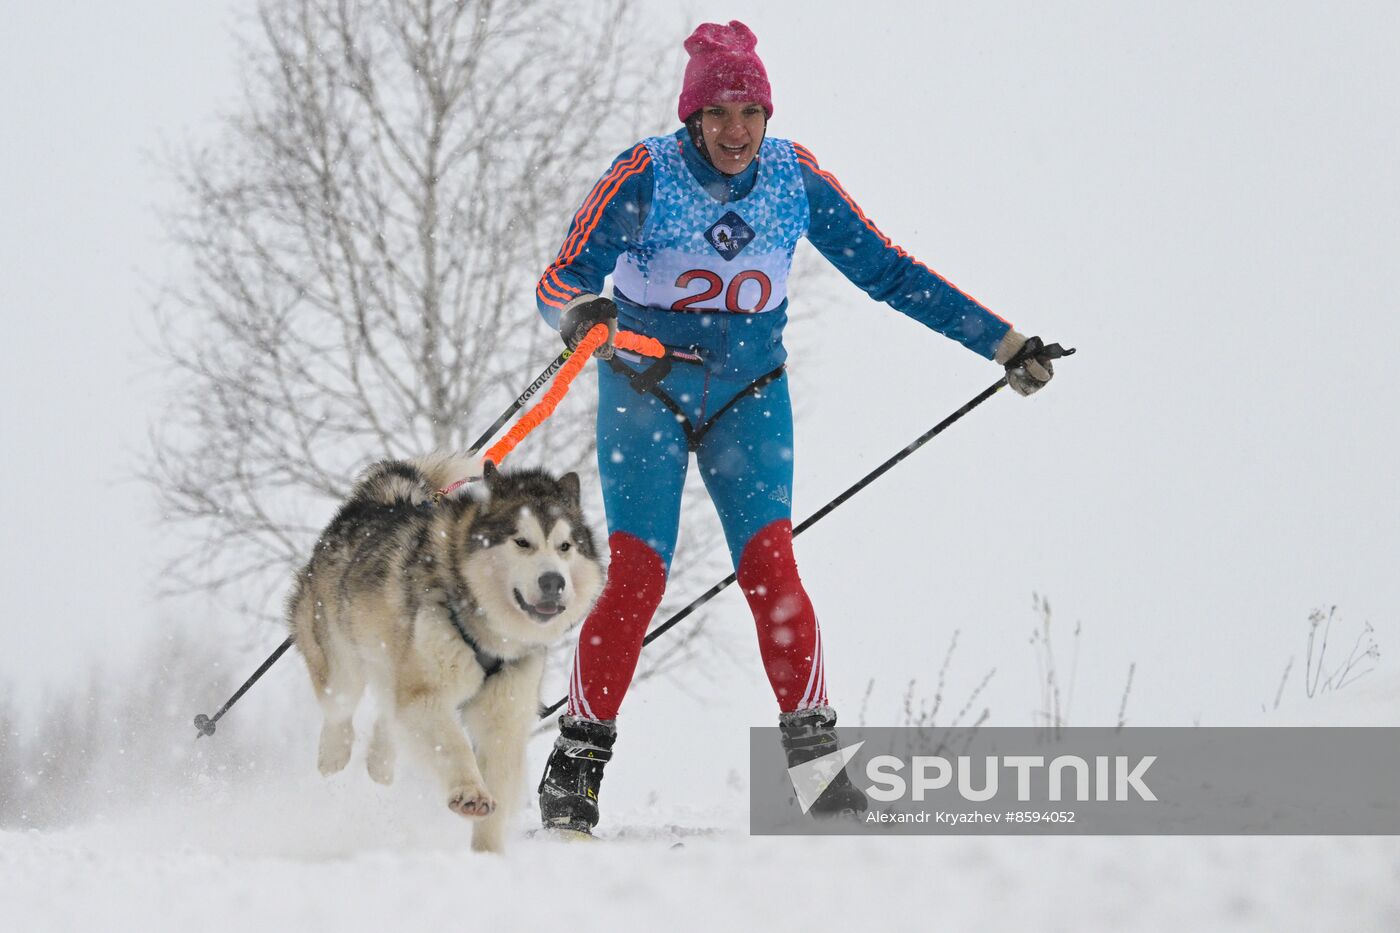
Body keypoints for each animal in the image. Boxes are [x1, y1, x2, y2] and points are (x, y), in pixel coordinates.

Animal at [289, 451, 602, 851]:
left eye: (565, 547)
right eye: (522, 542)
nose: (554, 581)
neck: (489, 634)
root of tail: (376, 501)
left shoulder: (505, 712)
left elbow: (498, 778)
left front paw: (488, 853)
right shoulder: (427, 692)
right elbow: (452, 744)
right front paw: (470, 792)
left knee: (388, 714)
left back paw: (379, 760)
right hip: (341, 659)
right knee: (340, 708)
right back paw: (333, 755)